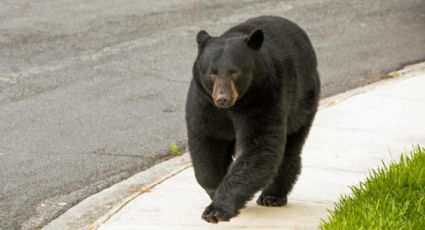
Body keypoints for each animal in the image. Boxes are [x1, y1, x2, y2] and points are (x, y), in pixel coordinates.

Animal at [185, 15, 318, 223]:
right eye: (211, 72)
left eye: (235, 71)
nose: (222, 98)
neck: (233, 107)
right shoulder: (204, 102)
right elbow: (206, 141)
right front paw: (215, 189)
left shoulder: (264, 97)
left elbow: (259, 147)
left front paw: (217, 209)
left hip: (303, 103)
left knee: (290, 148)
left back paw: (272, 196)